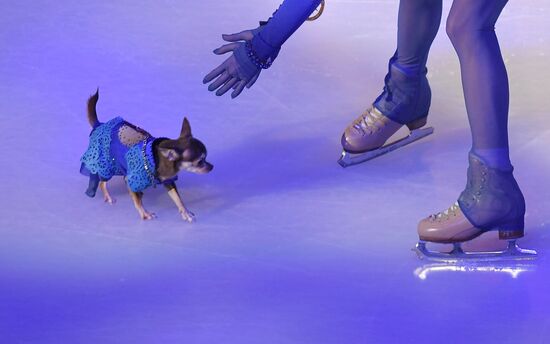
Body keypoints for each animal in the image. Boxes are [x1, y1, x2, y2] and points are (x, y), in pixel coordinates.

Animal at [80, 90, 213, 222]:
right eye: (200, 161)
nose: (212, 167)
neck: (155, 158)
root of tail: (99, 125)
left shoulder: (168, 181)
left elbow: (177, 198)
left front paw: (185, 212)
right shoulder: (130, 180)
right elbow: (138, 201)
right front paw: (144, 214)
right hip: (106, 166)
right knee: (102, 183)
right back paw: (108, 197)